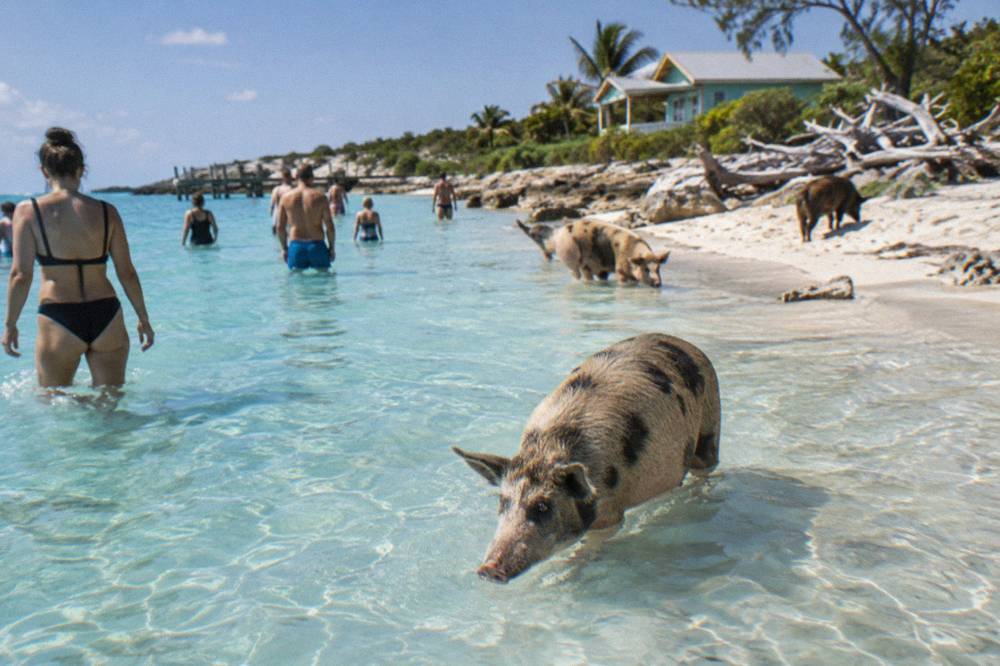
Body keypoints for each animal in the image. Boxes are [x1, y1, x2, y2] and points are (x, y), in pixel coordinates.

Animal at [453, 333, 721, 583]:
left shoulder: (610, 514)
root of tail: (688, 345)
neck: (548, 451)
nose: (488, 570)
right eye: (502, 502)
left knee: (705, 471)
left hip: (710, 426)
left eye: (543, 506)